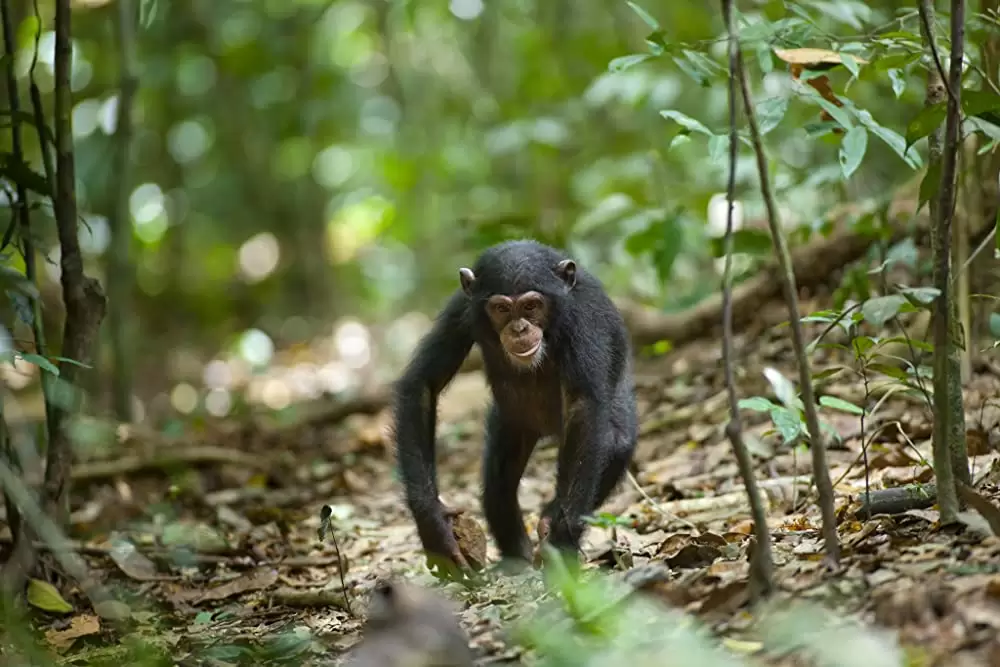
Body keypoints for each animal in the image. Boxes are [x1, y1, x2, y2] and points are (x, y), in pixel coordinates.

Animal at [392, 237, 636, 576]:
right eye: (501, 308)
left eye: (531, 306)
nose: (519, 328)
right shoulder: (460, 308)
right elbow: (423, 385)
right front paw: (435, 529)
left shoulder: (584, 322)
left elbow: (583, 410)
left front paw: (562, 541)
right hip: (511, 422)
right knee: (499, 484)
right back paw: (516, 557)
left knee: (615, 442)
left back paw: (548, 520)